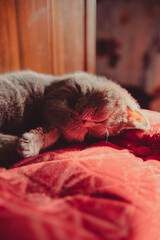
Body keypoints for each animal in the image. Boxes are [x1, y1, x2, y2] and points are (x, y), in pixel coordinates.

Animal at [0, 70, 149, 161]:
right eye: (101, 120)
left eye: (92, 133)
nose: (85, 124)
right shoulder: (55, 97)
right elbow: (67, 121)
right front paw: (76, 130)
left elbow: (54, 131)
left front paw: (30, 144)